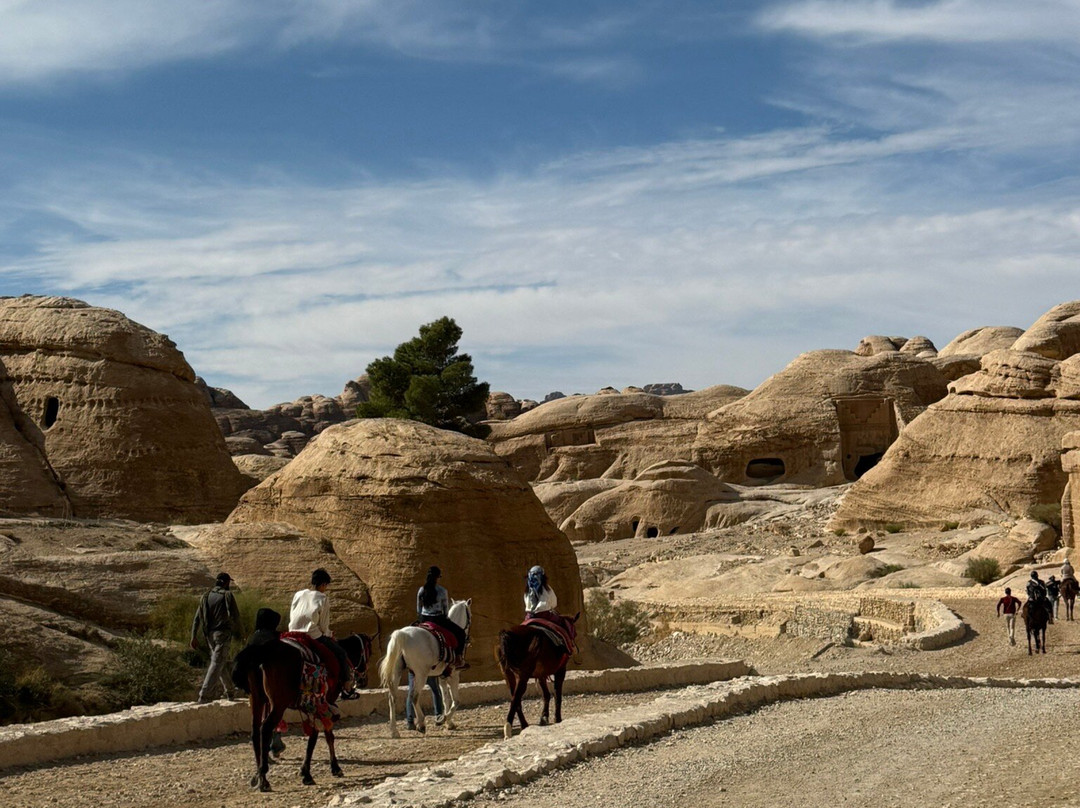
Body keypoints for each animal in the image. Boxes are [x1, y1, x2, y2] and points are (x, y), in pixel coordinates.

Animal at [232, 632, 374, 792]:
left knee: (255, 732)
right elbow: (323, 735)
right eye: (369, 651)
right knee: (265, 729)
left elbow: (320, 734)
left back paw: (259, 775)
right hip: (278, 704)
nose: (363, 680)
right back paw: (263, 778)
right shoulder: (325, 702)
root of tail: (263, 650)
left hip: (256, 700)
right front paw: (315, 771)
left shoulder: (317, 705)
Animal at [378, 599, 471, 738]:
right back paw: (421, 724)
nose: (468, 639)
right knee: (415, 697)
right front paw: (445, 719)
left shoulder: (442, 677)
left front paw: (448, 723)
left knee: (392, 698)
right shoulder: (454, 675)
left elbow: (445, 699)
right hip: (421, 675)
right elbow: (456, 701)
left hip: (397, 673)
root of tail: (402, 634)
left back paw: (394, 731)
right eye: (470, 616)